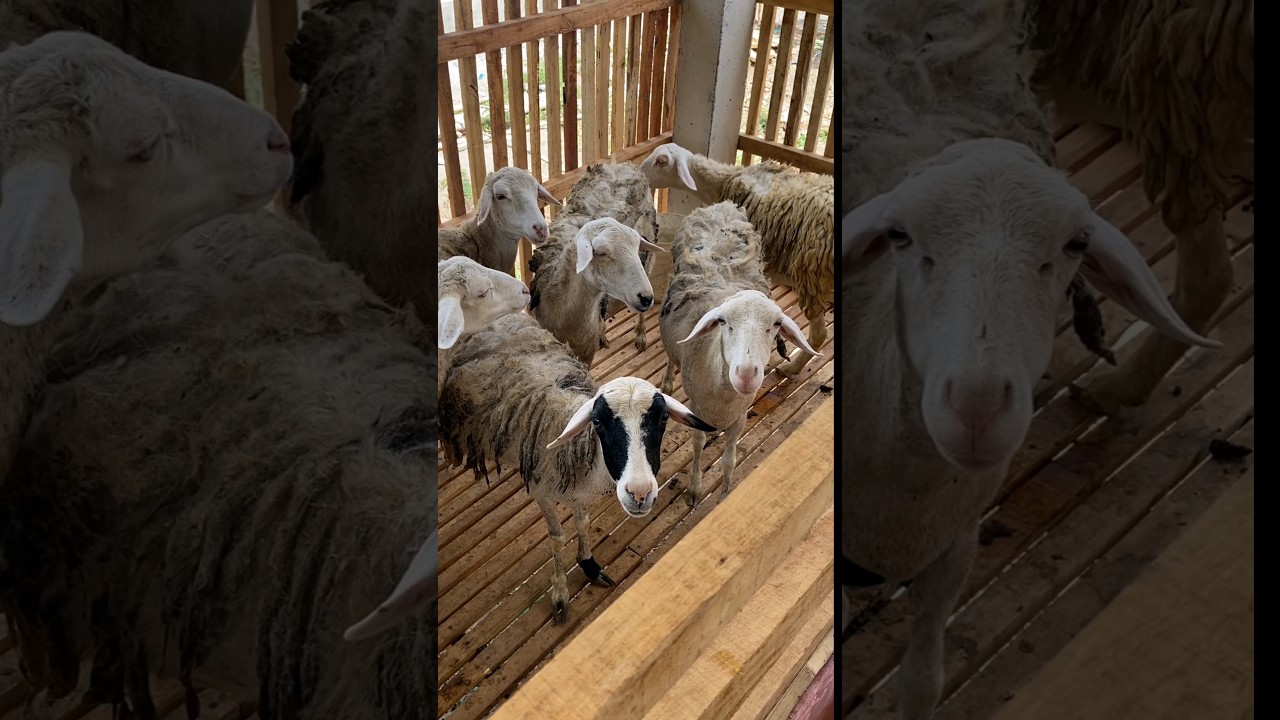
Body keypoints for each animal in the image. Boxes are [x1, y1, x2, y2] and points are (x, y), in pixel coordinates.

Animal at [438, 312, 715, 624]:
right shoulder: (542, 493)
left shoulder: (578, 493)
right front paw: (560, 593)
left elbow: (583, 523)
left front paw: (588, 564)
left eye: (664, 418)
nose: (640, 493)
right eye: (597, 421)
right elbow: (557, 538)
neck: (576, 451)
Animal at [640, 143, 833, 376]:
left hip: (811, 274)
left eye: (661, 161)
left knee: (820, 334)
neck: (721, 181)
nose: (639, 173)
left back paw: (792, 368)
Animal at [658, 202, 819, 507]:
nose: (745, 374)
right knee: (670, 359)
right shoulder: (698, 410)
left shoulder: (740, 417)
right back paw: (667, 381)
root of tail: (719, 206)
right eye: (722, 321)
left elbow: (729, 461)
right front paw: (694, 489)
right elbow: (697, 447)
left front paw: (724, 496)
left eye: (776, 324)